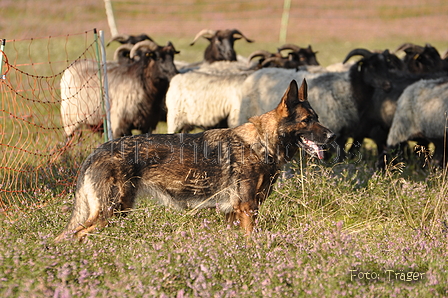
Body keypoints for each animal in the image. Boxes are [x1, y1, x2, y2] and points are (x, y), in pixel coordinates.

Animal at [56, 79, 334, 242]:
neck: (261, 143)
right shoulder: (247, 208)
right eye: (306, 121)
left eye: (318, 118)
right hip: (111, 211)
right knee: (77, 234)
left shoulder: (233, 213)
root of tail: (97, 151)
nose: (331, 136)